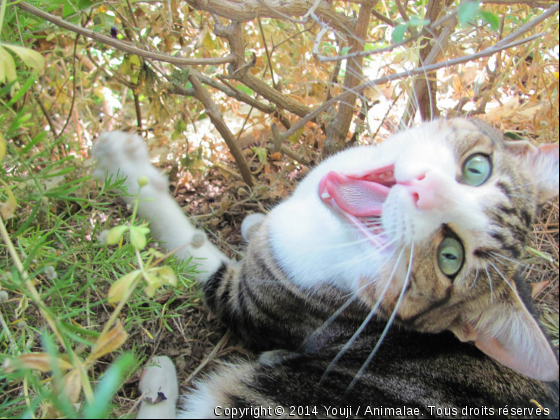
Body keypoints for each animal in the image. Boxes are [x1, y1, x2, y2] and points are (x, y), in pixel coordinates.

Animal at [94, 119, 556, 420]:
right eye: (477, 169)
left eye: (450, 257)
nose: (427, 191)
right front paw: (253, 223)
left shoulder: (255, 300)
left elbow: (190, 246)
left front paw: (121, 162)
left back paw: (158, 380)